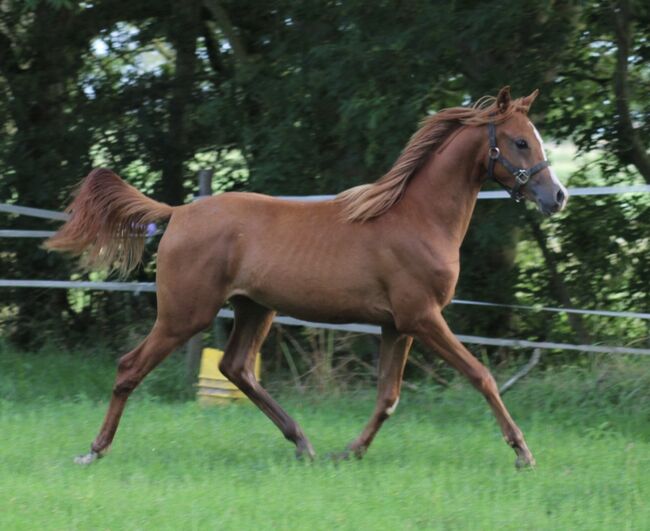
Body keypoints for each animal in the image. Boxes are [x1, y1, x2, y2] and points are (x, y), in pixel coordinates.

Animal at [48, 87, 568, 470]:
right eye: (521, 141)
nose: (557, 196)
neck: (416, 218)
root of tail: (177, 213)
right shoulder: (422, 318)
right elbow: (482, 375)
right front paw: (523, 453)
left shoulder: (396, 325)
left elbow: (388, 396)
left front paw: (350, 452)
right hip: (185, 315)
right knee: (130, 367)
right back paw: (93, 451)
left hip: (256, 308)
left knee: (236, 367)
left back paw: (303, 442)